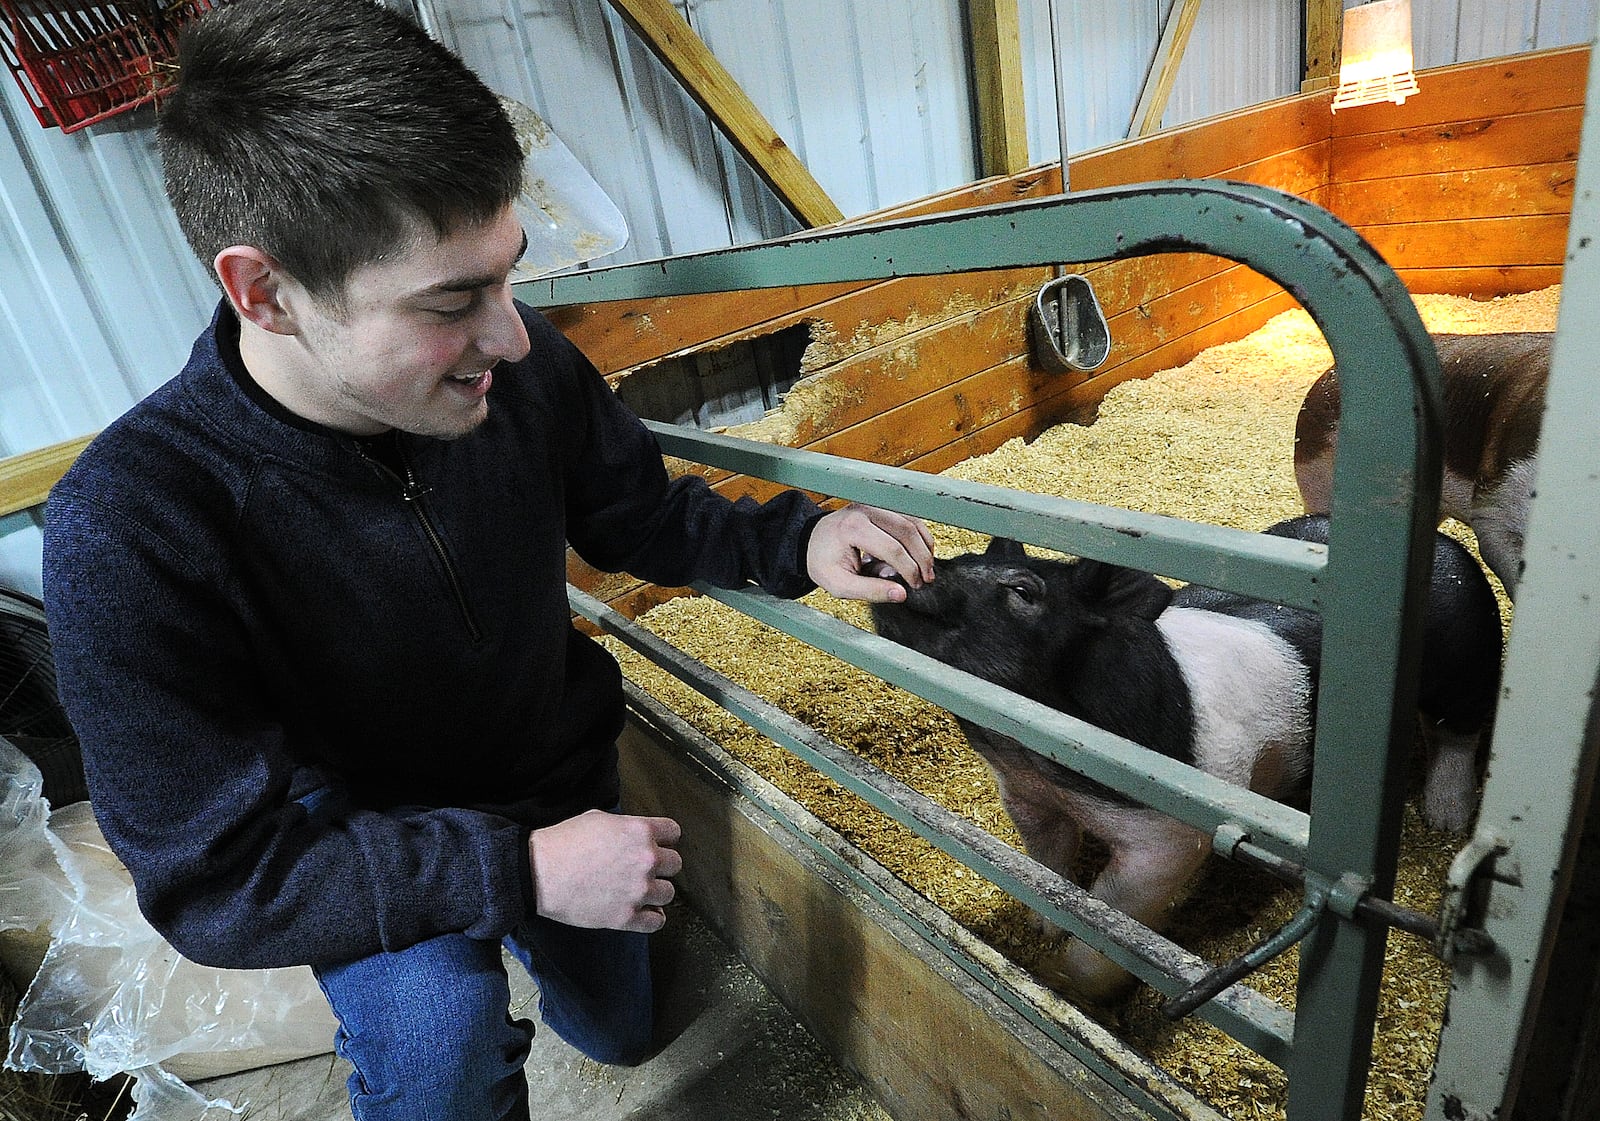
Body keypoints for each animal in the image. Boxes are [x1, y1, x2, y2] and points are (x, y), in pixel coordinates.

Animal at [864, 511, 1497, 1004]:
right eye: (963, 556)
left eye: (1023, 590)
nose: (886, 566)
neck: (1042, 762)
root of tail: (1444, 543)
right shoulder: (1026, 797)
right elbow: (1048, 864)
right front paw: (1043, 929)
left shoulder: (1171, 839)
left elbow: (1113, 915)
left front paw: (1064, 982)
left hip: (1466, 658)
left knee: (1459, 731)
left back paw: (1445, 821)